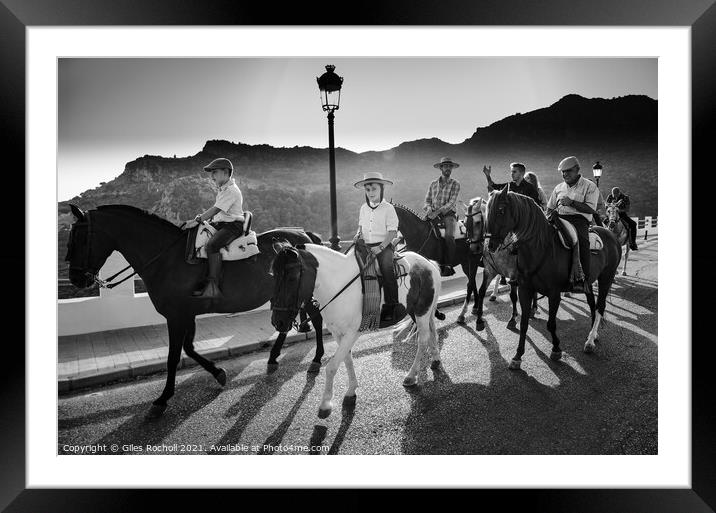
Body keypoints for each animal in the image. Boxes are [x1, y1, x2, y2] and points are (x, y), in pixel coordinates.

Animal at [65, 202, 324, 418]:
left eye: (79, 237)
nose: (76, 279)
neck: (168, 257)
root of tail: (305, 235)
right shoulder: (186, 313)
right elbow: (189, 348)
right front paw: (217, 372)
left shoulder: (176, 316)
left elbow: (173, 357)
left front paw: (162, 399)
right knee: (287, 321)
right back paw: (273, 357)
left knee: (316, 318)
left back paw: (316, 358)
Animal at [270, 242, 442, 418]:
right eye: (273, 275)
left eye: (292, 278)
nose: (278, 322)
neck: (337, 286)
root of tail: (428, 263)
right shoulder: (338, 333)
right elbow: (347, 359)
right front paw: (351, 391)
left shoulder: (352, 333)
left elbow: (331, 367)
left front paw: (325, 404)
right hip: (416, 311)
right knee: (432, 331)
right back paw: (435, 359)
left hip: (421, 311)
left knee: (423, 341)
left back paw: (411, 375)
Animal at [484, 189, 624, 368]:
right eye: (487, 210)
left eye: (501, 210)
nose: (489, 245)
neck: (541, 247)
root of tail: (610, 234)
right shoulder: (525, 290)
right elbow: (524, 323)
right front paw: (517, 356)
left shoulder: (554, 293)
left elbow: (551, 324)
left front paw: (556, 349)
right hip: (589, 282)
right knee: (592, 304)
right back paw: (594, 334)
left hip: (606, 277)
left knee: (600, 306)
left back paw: (590, 341)